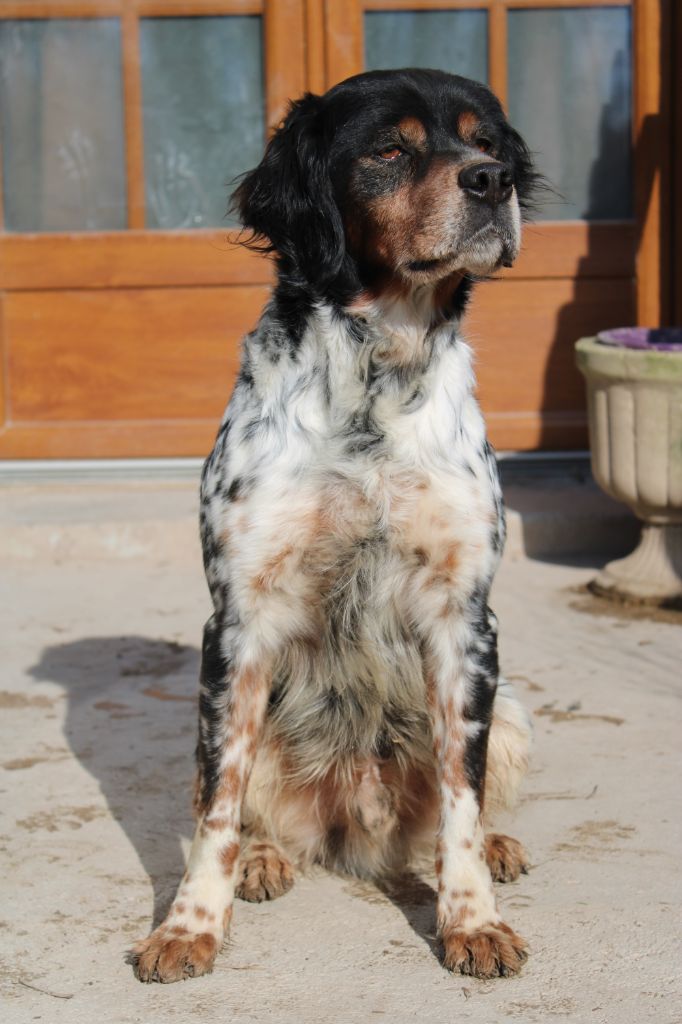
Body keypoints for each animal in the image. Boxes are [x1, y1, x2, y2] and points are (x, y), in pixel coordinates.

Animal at [132, 68, 538, 983]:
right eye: (388, 149)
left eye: (487, 144)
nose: (491, 183)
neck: (376, 384)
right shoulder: (238, 623)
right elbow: (217, 806)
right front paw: (189, 927)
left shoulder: (467, 619)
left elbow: (460, 796)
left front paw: (472, 920)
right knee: (238, 801)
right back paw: (262, 858)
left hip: (514, 709)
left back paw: (499, 848)